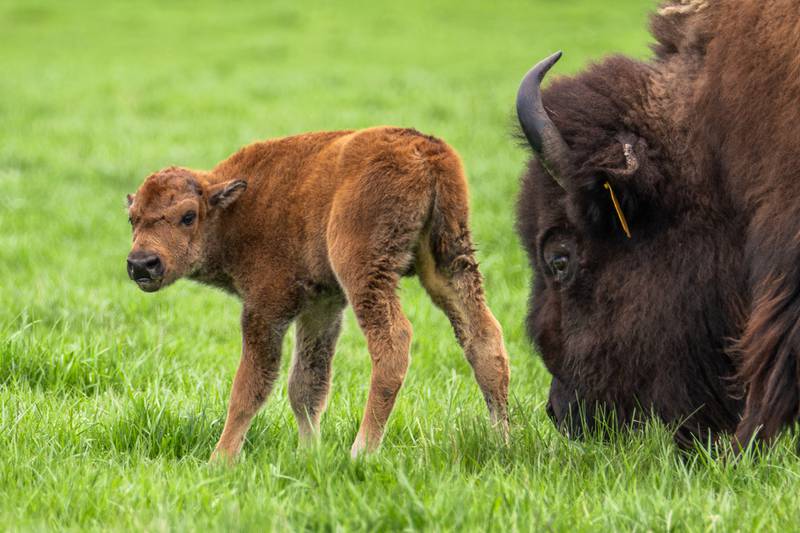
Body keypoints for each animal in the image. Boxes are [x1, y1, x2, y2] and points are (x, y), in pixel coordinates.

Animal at [127, 127, 510, 460]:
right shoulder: (321, 307)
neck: (235, 207)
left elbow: (249, 388)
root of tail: (425, 150)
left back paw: (361, 451)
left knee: (394, 341)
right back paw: (502, 439)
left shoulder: (264, 309)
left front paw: (220, 460)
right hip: (448, 259)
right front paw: (308, 454)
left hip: (365, 271)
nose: (142, 263)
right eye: (133, 218)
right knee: (484, 338)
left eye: (188, 216)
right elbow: (306, 386)